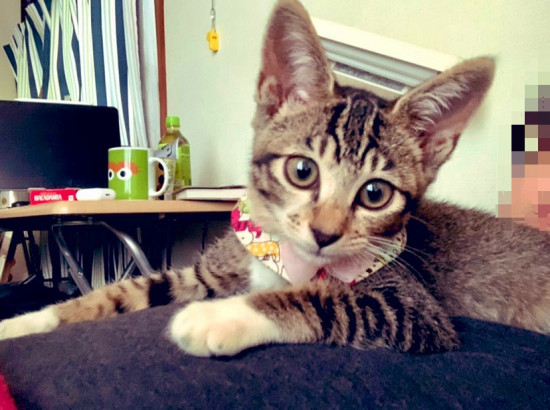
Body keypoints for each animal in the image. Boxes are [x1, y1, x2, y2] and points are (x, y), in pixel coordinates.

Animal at [1, 0, 549, 357]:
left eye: (375, 194)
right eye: (302, 171)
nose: (325, 234)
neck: (285, 255)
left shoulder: (417, 309)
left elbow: (327, 300)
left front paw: (219, 315)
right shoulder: (208, 271)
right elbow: (124, 290)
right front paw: (29, 320)